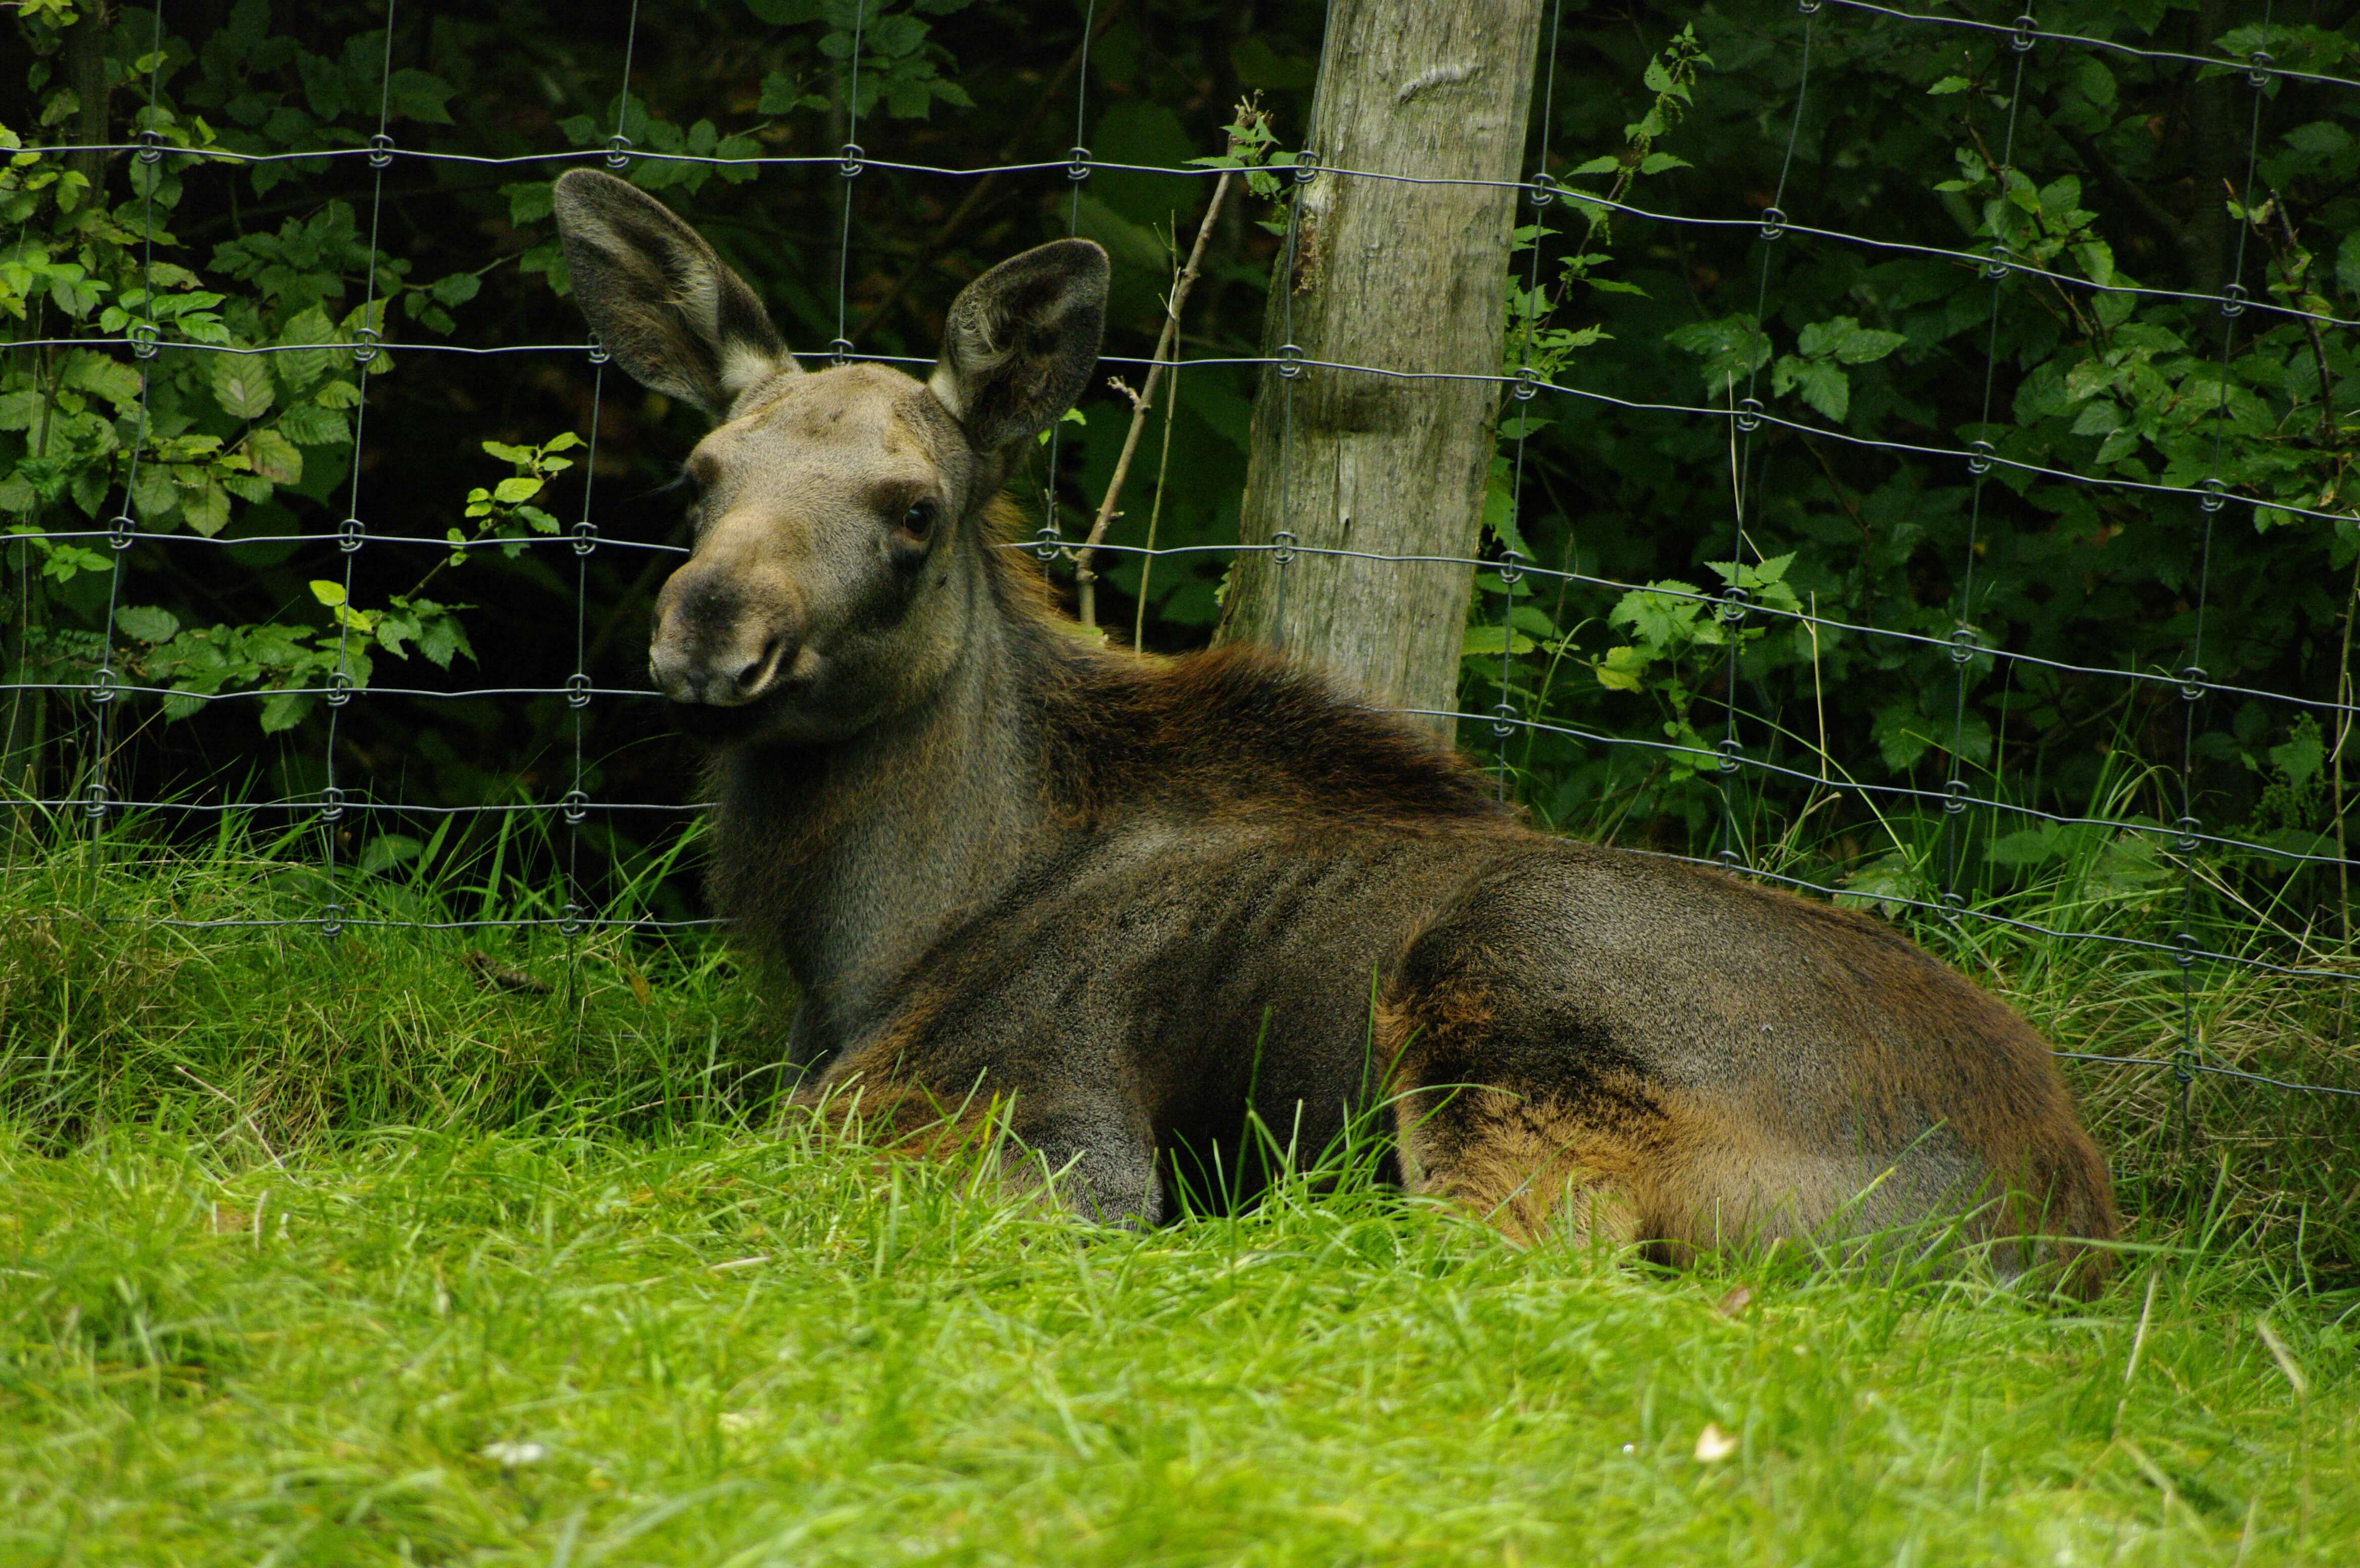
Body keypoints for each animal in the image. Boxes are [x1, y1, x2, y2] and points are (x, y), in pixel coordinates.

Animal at [547, 169, 2124, 1294]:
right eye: (698, 475)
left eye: (916, 511)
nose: (711, 633)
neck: (876, 937)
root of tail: (2047, 1238)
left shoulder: (1042, 1130)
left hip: (1513, 1013)